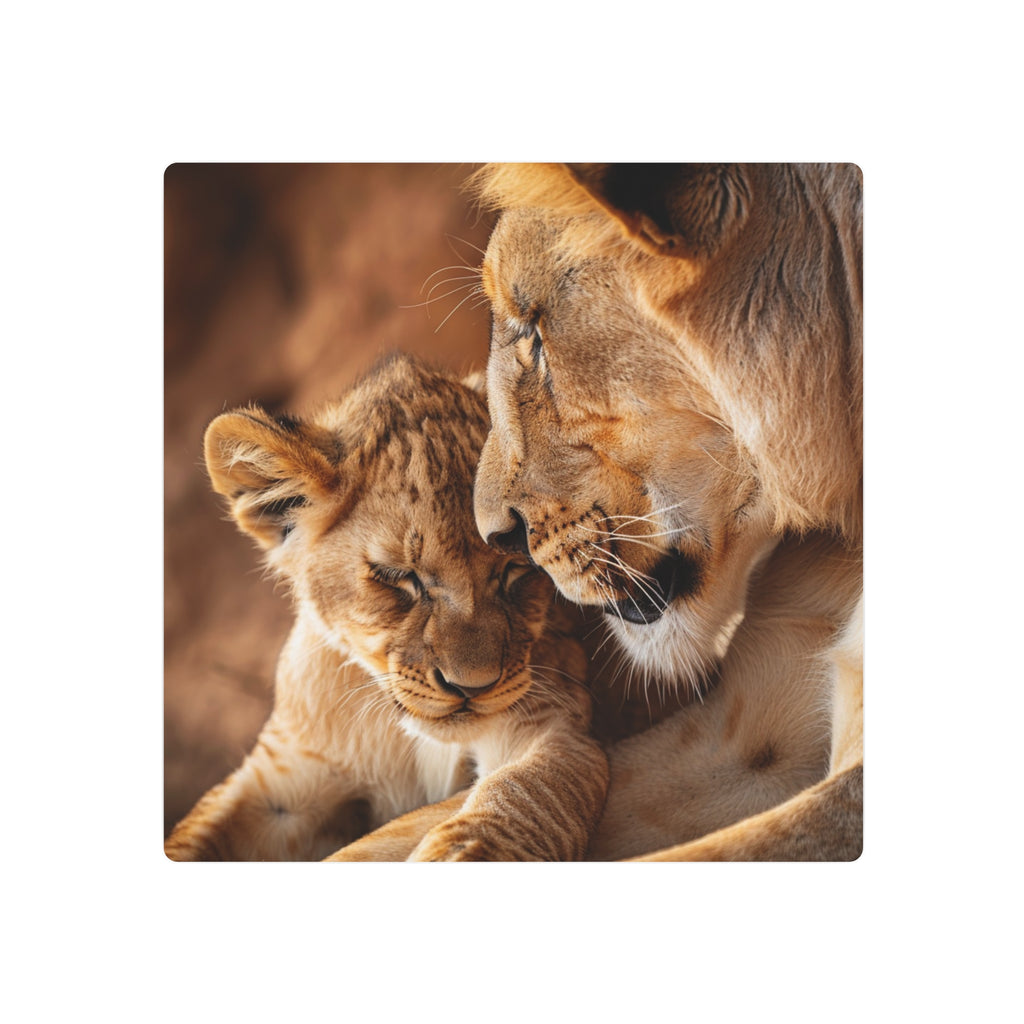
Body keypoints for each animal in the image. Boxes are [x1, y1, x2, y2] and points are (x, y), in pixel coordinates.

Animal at [164, 353, 608, 862]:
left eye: (516, 568)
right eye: (397, 577)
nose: (471, 687)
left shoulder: (557, 731)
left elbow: (523, 795)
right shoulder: (277, 786)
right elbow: (192, 835)